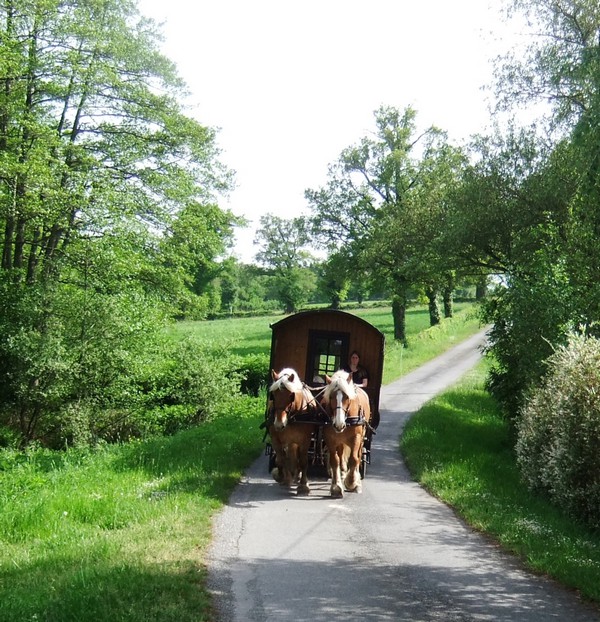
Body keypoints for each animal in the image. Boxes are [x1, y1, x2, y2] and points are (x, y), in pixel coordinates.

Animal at [268, 370, 318, 498]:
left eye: (291, 396)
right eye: (273, 396)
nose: (279, 424)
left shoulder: (305, 440)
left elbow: (304, 461)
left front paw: (303, 486)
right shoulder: (275, 438)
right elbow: (281, 459)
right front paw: (281, 477)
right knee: (289, 457)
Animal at [324, 372, 370, 500]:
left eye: (346, 397)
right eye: (331, 397)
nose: (339, 424)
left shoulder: (356, 438)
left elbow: (354, 459)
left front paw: (352, 482)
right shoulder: (331, 439)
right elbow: (335, 460)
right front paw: (336, 487)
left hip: (361, 439)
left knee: (359, 455)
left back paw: (356, 480)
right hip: (340, 441)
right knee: (341, 455)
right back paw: (343, 473)